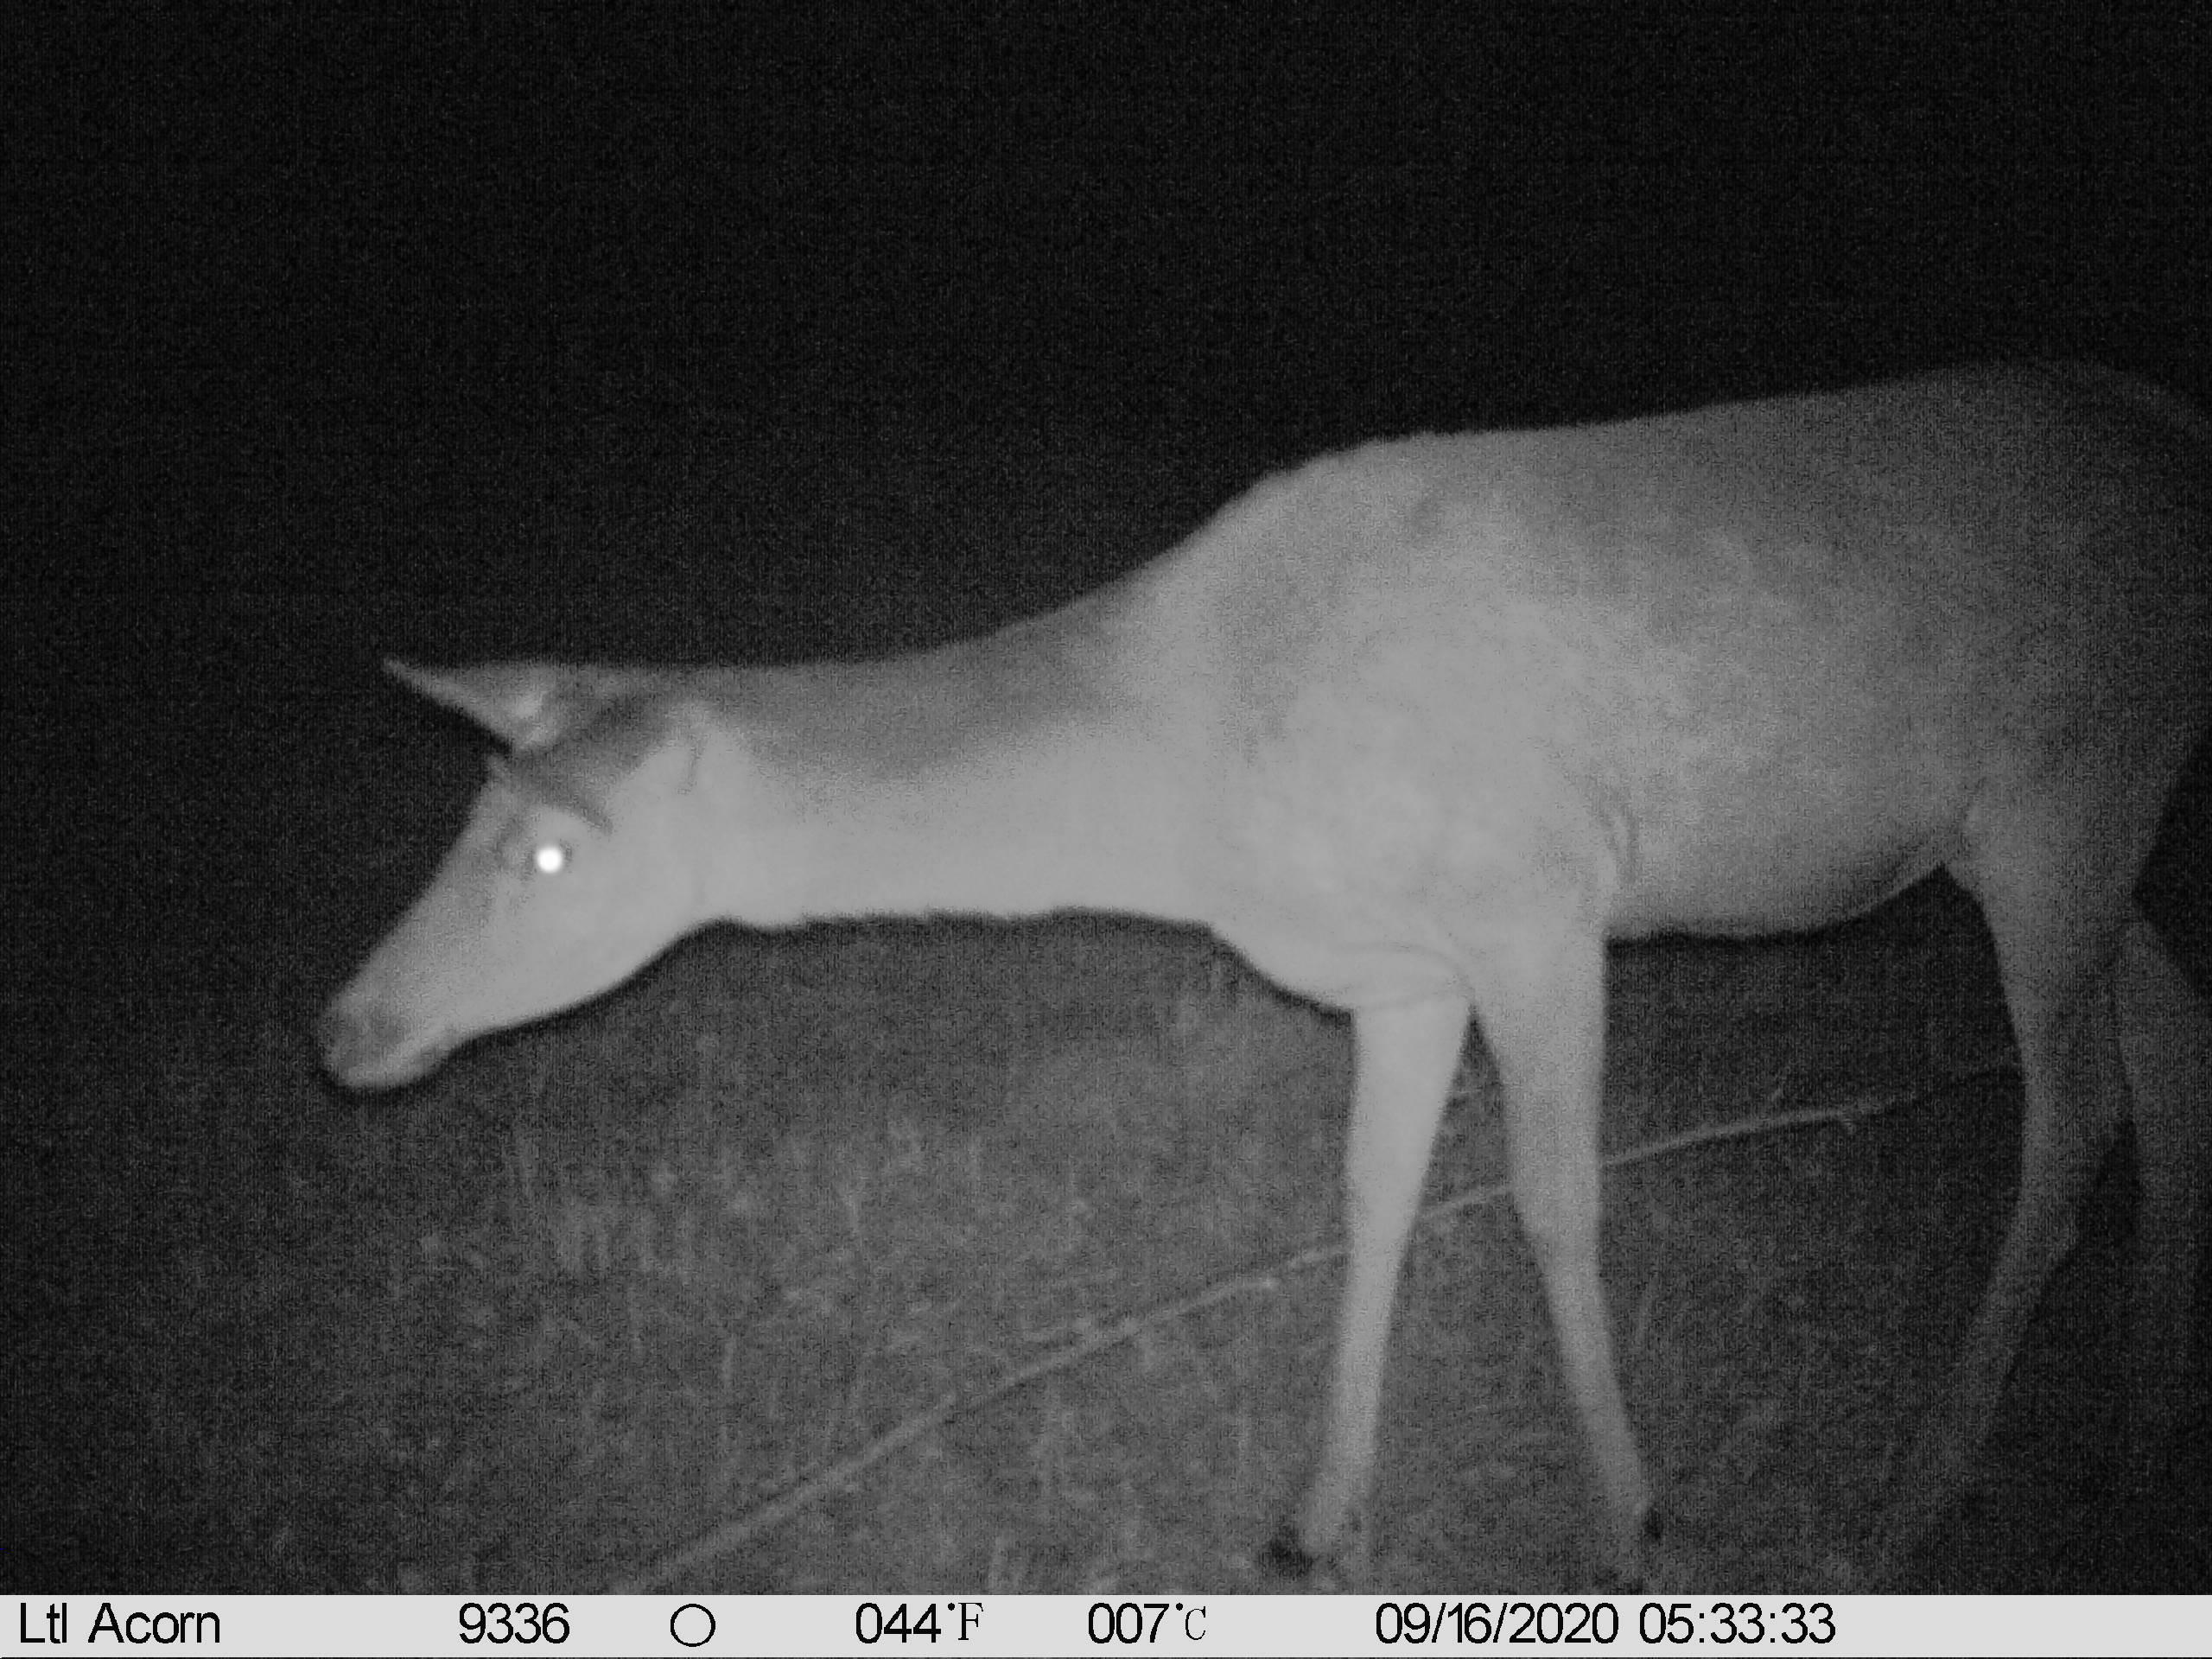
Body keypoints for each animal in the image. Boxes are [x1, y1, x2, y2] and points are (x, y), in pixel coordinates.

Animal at [320, 361, 2209, 1586]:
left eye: (549, 856)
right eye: (469, 814)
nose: (348, 1029)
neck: (1198, 774)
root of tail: (2163, 421)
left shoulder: (1539, 893)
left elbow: (1554, 1201)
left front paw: (1631, 1526)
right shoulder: (1395, 966)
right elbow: (1371, 1194)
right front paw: (1319, 1521)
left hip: (2062, 788)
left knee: (2079, 1108)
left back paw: (1924, 1494)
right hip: (2083, 820)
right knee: (2176, 1048)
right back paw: (2132, 1455)